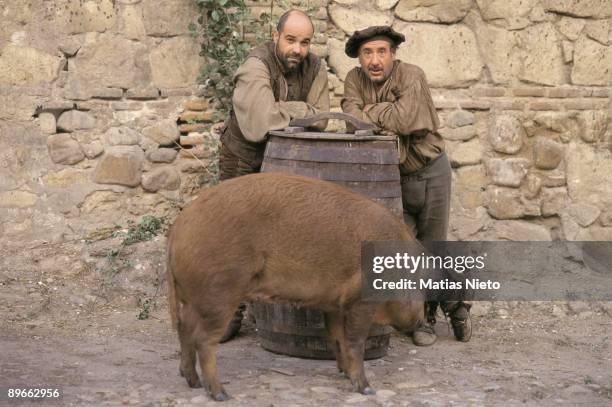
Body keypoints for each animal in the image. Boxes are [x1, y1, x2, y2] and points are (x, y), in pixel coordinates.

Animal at [167, 172, 426, 402]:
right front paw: (366, 389)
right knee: (203, 339)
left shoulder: (333, 304)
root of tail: (179, 227)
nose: (420, 321)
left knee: (184, 328)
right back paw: (221, 394)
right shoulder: (360, 300)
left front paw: (343, 373)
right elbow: (355, 341)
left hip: (193, 297)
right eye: (418, 286)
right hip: (219, 291)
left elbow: (337, 337)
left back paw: (192, 382)